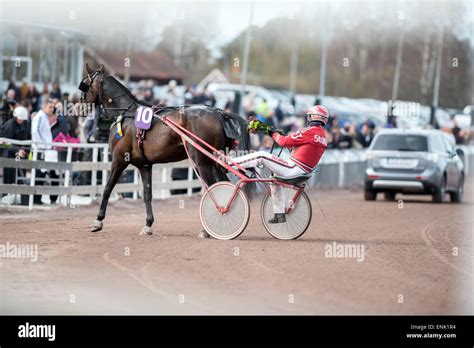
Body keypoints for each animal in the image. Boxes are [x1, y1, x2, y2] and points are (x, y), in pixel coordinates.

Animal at [79, 65, 254, 237]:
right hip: (214, 162)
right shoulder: (144, 165)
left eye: (85, 83)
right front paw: (148, 225)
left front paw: (98, 221)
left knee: (213, 188)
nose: (78, 107)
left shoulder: (119, 159)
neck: (126, 115)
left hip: (202, 162)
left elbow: (107, 189)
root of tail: (219, 113)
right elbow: (147, 195)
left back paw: (208, 229)